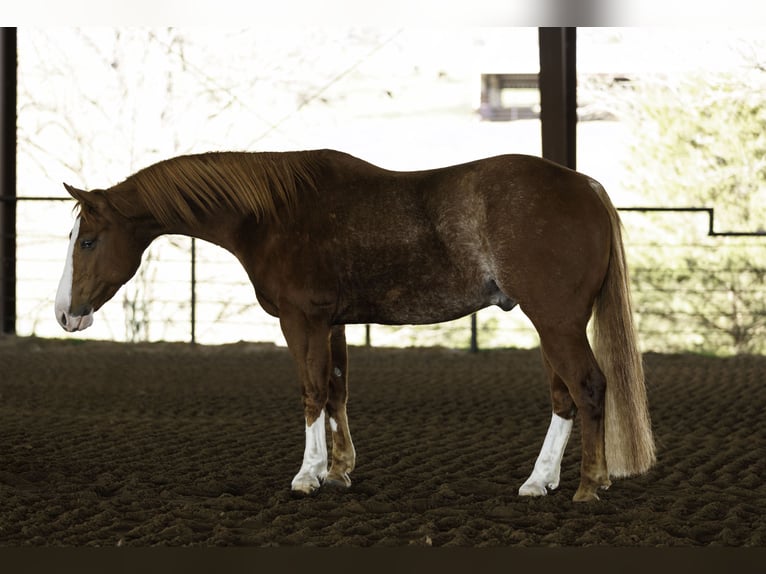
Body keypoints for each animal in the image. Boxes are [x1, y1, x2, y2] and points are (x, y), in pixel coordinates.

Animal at [54, 149, 655, 502]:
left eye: (88, 242)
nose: (65, 313)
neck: (273, 213)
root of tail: (586, 186)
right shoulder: (334, 324)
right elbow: (337, 391)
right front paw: (339, 469)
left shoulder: (302, 321)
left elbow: (311, 392)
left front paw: (308, 475)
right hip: (553, 324)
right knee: (564, 396)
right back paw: (541, 480)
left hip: (555, 321)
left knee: (588, 387)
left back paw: (588, 485)